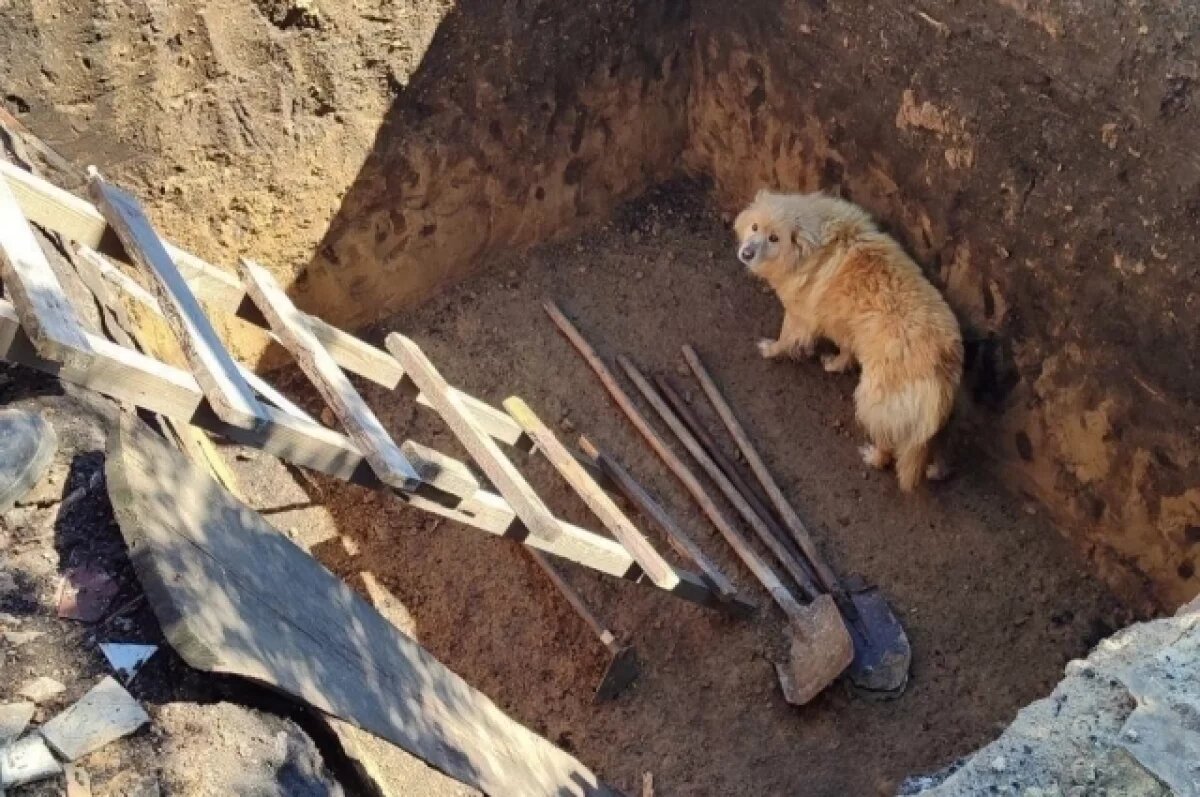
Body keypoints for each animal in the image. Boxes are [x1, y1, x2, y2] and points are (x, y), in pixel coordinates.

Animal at [734, 192, 960, 492]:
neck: (813, 242)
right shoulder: (843, 326)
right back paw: (937, 469)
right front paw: (836, 364)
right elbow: (846, 349)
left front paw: (771, 350)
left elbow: (786, 338)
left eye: (774, 238)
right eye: (755, 227)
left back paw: (873, 456)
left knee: (888, 446)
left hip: (872, 403)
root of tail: (941, 362)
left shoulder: (799, 314)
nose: (746, 253)